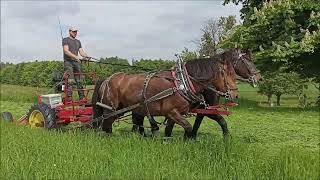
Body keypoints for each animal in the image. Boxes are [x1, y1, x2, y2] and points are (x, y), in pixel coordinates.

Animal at [92, 55, 238, 137]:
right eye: (227, 74)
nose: (235, 95)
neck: (182, 82)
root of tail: (106, 79)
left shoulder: (175, 113)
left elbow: (170, 129)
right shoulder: (171, 111)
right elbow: (188, 126)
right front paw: (190, 140)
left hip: (128, 109)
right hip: (111, 109)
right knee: (106, 124)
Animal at [131, 47, 262, 138]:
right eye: (247, 61)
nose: (259, 77)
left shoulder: (202, 109)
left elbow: (196, 125)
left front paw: (191, 138)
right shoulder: (204, 110)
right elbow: (221, 121)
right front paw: (227, 138)